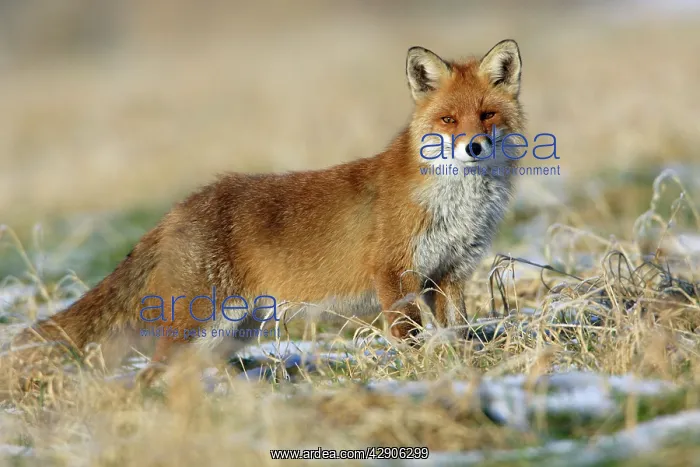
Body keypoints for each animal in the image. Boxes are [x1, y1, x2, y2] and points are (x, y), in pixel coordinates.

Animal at [12, 39, 524, 383]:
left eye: (487, 115)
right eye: (448, 120)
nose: (474, 147)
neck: (457, 206)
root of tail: (179, 208)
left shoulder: (448, 274)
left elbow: (456, 333)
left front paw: (463, 367)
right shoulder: (395, 274)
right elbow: (410, 337)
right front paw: (425, 375)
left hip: (229, 332)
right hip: (198, 324)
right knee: (148, 376)